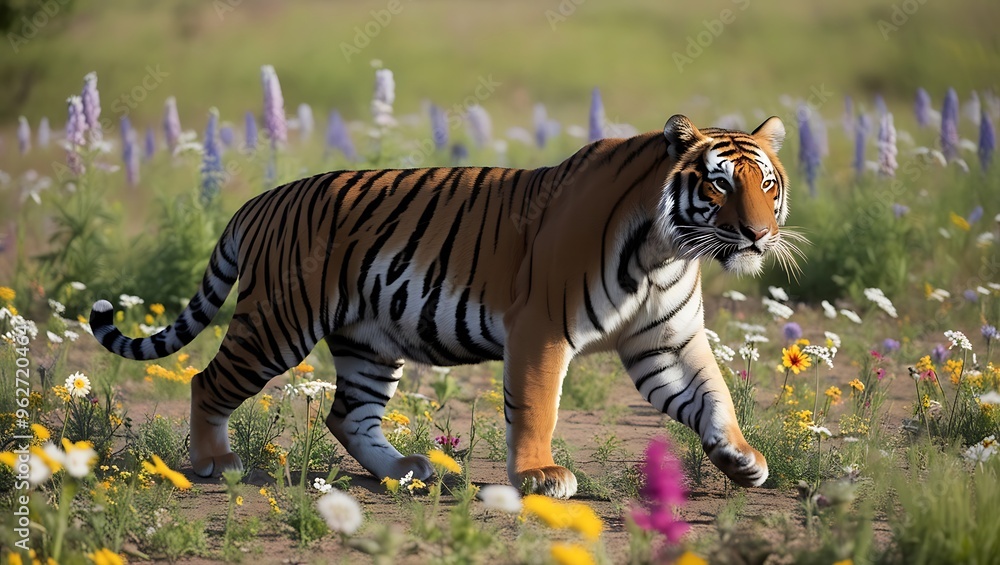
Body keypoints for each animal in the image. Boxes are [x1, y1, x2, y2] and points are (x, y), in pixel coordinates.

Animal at [90, 114, 797, 499]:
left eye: (766, 184)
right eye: (718, 185)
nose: (759, 235)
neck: (665, 252)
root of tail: (260, 200)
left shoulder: (665, 342)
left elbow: (713, 395)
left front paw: (741, 460)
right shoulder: (541, 328)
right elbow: (536, 406)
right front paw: (539, 475)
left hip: (368, 342)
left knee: (348, 414)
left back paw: (406, 471)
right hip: (277, 324)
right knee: (207, 380)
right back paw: (215, 462)